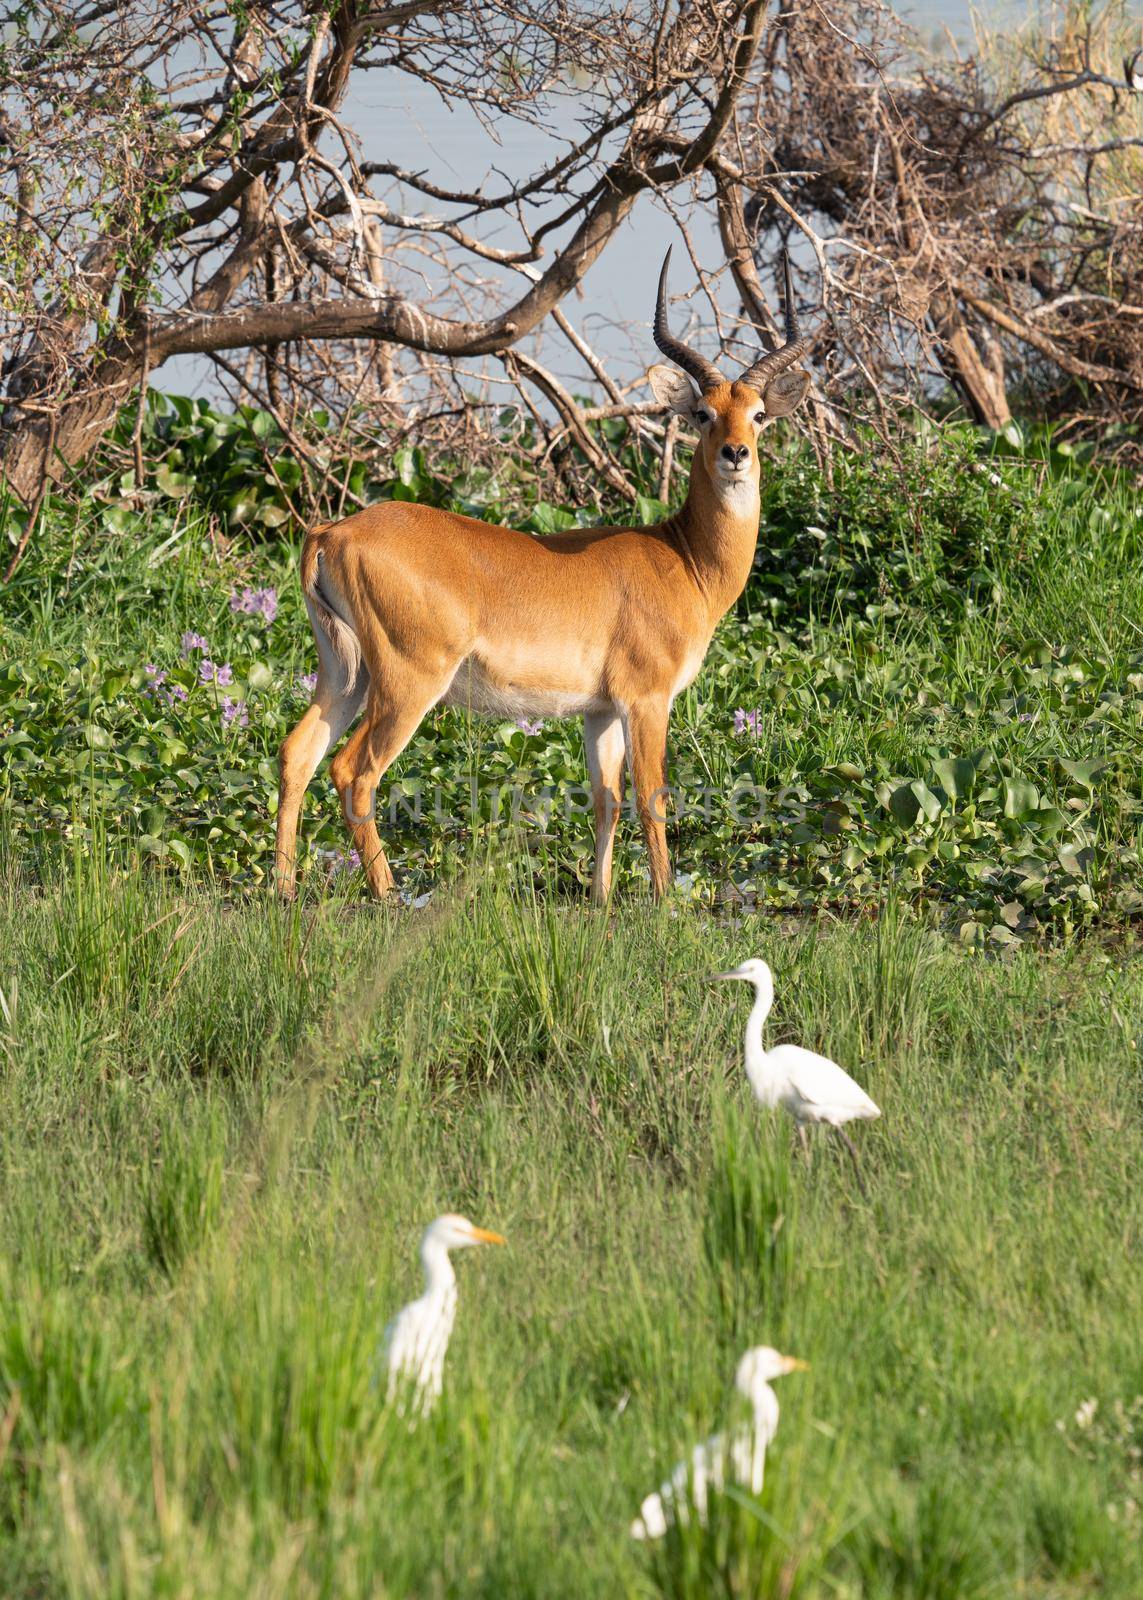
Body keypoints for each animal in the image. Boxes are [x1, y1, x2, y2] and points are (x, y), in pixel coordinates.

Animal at [273, 249, 810, 902]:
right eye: (704, 414)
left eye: (758, 415)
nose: (736, 453)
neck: (684, 558)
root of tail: (333, 533)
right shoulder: (646, 700)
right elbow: (652, 798)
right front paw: (663, 904)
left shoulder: (599, 711)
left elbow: (607, 800)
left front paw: (601, 900)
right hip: (407, 680)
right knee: (354, 771)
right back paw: (387, 894)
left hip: (344, 671)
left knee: (297, 753)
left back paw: (284, 891)